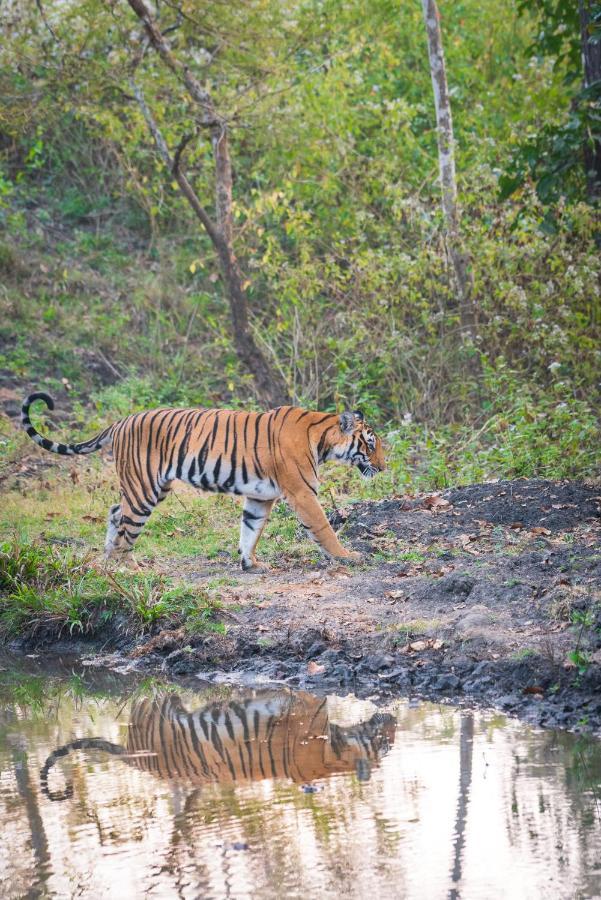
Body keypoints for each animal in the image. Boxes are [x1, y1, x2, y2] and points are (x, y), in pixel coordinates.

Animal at [21, 392, 384, 568]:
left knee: (115, 513)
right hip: (144, 487)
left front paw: (250, 564)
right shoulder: (302, 493)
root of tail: (121, 421)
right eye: (370, 444)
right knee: (127, 525)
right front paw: (346, 556)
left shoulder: (260, 496)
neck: (322, 439)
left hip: (153, 486)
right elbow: (323, 528)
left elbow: (250, 530)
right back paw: (127, 567)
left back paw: (108, 561)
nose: (383, 466)